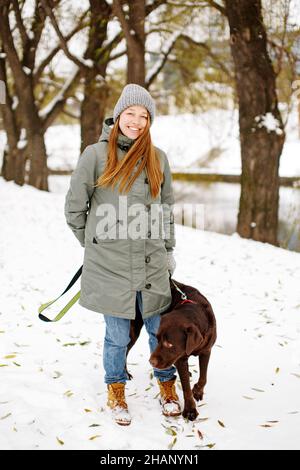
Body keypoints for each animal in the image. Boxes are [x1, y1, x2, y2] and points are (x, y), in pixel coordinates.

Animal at [126, 280, 216, 422]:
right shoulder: (180, 359)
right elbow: (186, 387)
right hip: (134, 330)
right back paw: (125, 373)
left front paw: (197, 391)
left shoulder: (206, 350)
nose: (151, 362)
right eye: (157, 339)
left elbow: (203, 377)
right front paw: (190, 410)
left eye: (169, 344)